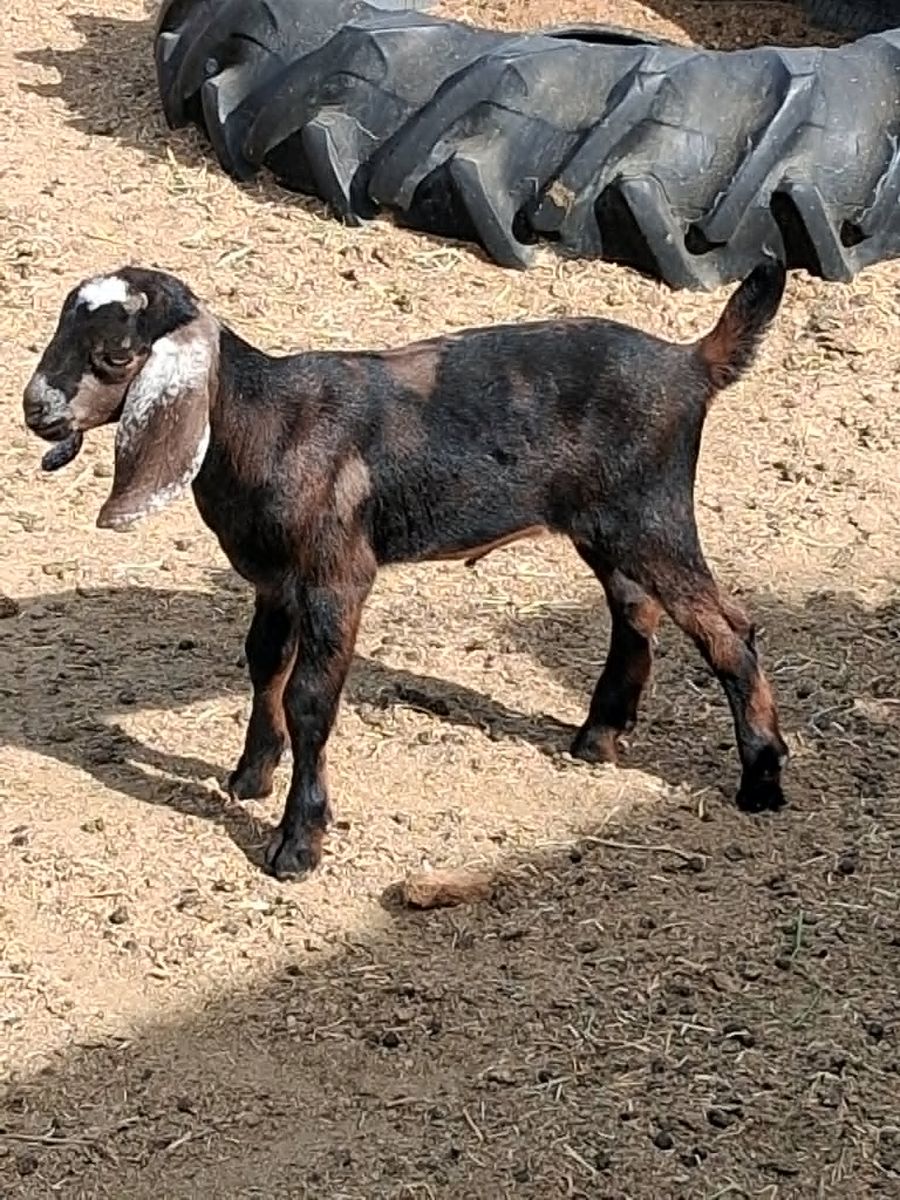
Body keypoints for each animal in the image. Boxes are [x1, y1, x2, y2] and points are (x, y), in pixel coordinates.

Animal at [23, 261, 789, 879]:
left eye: (117, 354)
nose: (37, 409)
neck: (269, 423)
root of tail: (691, 364)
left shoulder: (336, 577)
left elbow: (309, 699)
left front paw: (297, 844)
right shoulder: (275, 579)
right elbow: (263, 664)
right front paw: (250, 777)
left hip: (652, 517)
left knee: (729, 630)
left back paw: (762, 778)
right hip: (608, 526)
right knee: (636, 609)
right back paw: (599, 737)